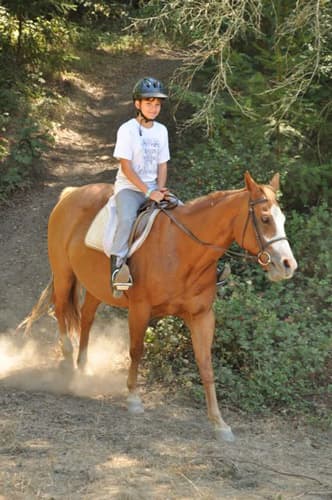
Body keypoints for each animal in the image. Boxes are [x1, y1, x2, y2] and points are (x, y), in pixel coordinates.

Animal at [21, 171, 298, 442]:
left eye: (283, 219)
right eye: (264, 219)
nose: (288, 265)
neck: (182, 250)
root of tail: (70, 194)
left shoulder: (202, 316)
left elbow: (206, 364)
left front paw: (219, 423)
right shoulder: (140, 308)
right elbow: (136, 350)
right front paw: (133, 398)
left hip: (95, 285)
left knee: (86, 317)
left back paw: (83, 368)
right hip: (63, 273)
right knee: (60, 310)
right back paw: (68, 364)